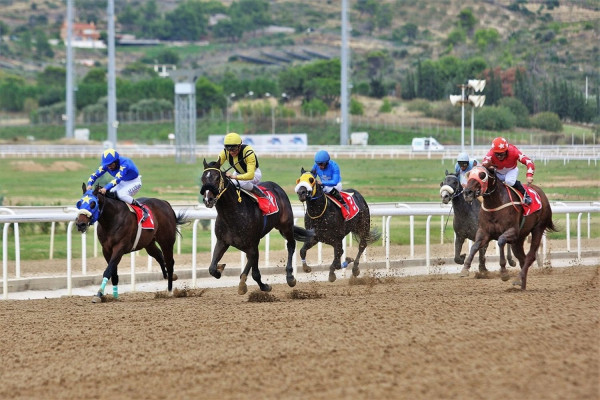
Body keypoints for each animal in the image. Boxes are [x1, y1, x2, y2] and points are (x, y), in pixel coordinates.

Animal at [200, 159, 314, 294]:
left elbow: (252, 271)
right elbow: (212, 268)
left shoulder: (252, 244)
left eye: (217, 178)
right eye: (203, 178)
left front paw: (245, 286)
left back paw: (290, 277)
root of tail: (277, 187)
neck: (233, 214)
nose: (208, 199)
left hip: (286, 226)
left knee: (291, 245)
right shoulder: (222, 241)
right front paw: (219, 269)